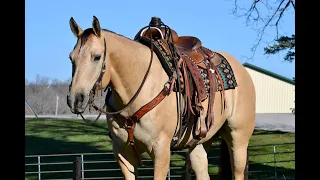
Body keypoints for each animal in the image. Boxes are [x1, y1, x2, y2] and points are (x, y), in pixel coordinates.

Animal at [67, 15, 255, 180]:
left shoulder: (161, 151)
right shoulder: (123, 153)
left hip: (238, 139)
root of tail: (243, 71)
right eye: (71, 58)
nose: (75, 99)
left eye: (97, 56)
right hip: (199, 143)